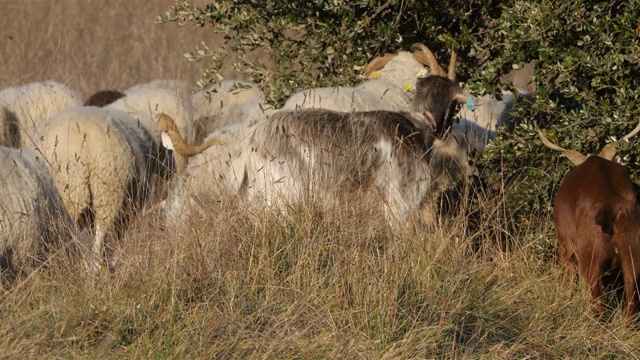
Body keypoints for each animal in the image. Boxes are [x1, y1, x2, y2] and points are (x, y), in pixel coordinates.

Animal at [544, 121, 640, 316]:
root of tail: (611, 205)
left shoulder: (565, 246)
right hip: (632, 255)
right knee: (630, 299)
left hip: (590, 257)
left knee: (598, 302)